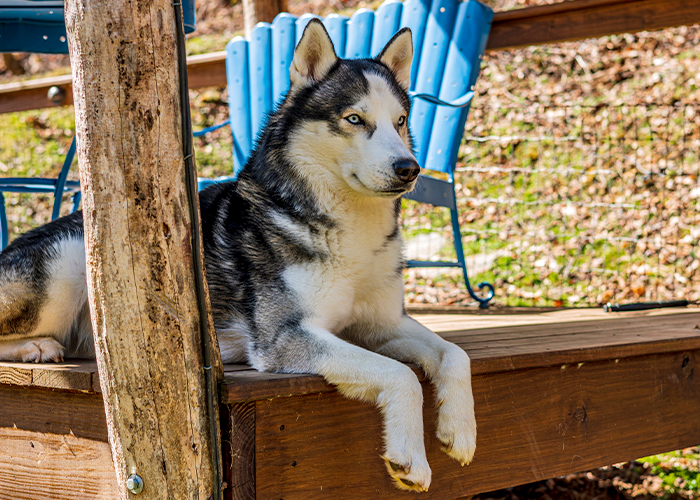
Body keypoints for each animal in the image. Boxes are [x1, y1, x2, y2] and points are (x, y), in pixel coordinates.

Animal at [0, 20, 476, 492]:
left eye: (400, 121)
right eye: (355, 119)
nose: (408, 168)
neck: (345, 228)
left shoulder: (382, 324)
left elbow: (456, 353)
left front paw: (460, 429)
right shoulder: (284, 338)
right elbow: (400, 374)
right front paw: (411, 457)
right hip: (69, 261)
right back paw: (36, 347)